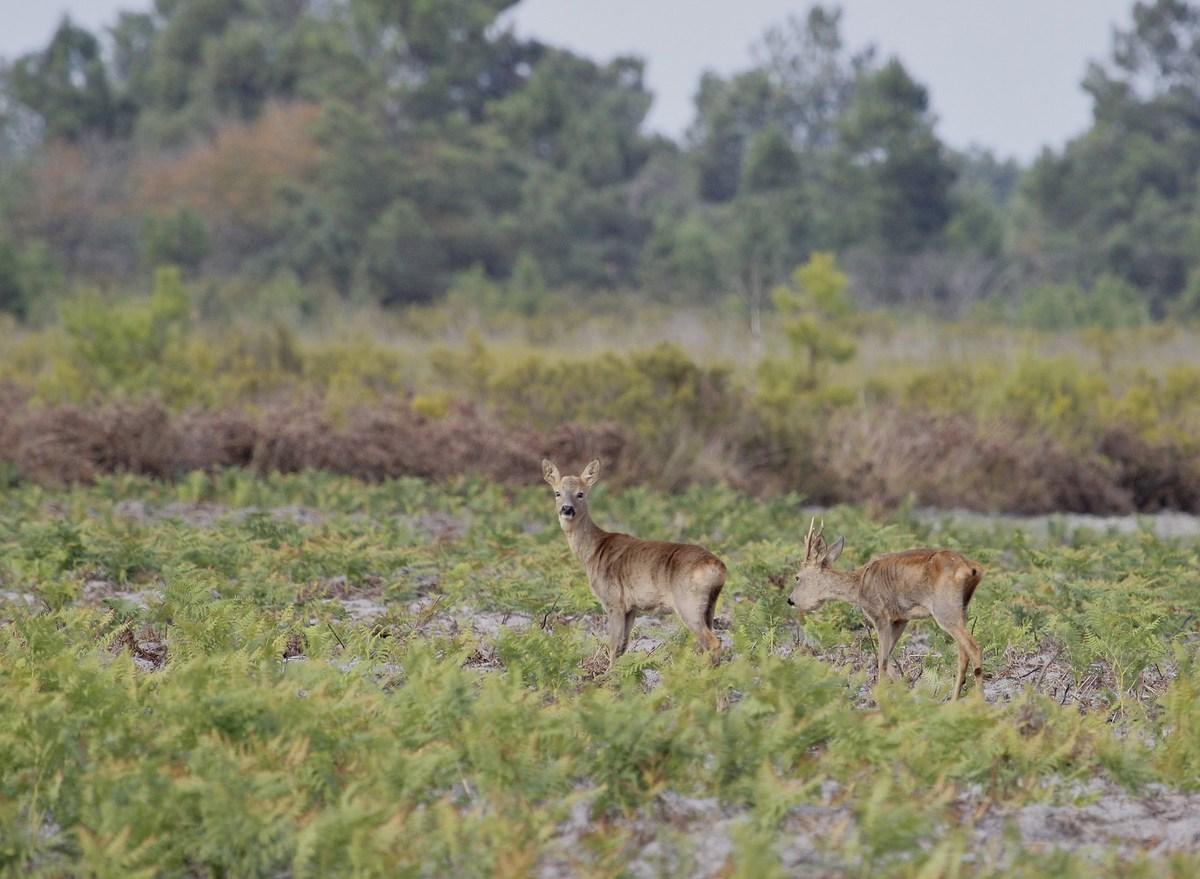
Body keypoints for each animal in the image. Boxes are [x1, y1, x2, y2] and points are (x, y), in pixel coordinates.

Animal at [542, 456, 720, 667]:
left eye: (581, 494)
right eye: (557, 493)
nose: (567, 509)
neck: (593, 551)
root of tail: (718, 568)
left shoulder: (613, 600)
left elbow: (613, 646)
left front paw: (609, 674)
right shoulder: (631, 608)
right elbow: (623, 646)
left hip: (688, 603)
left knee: (712, 642)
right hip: (709, 606)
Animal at [787, 521, 984, 701]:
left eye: (797, 577)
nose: (790, 600)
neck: (859, 585)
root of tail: (971, 568)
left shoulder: (880, 615)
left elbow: (881, 659)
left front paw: (880, 697)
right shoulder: (900, 619)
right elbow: (887, 656)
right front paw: (904, 690)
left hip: (945, 610)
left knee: (974, 648)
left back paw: (977, 702)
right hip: (961, 610)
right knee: (963, 654)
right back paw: (955, 700)